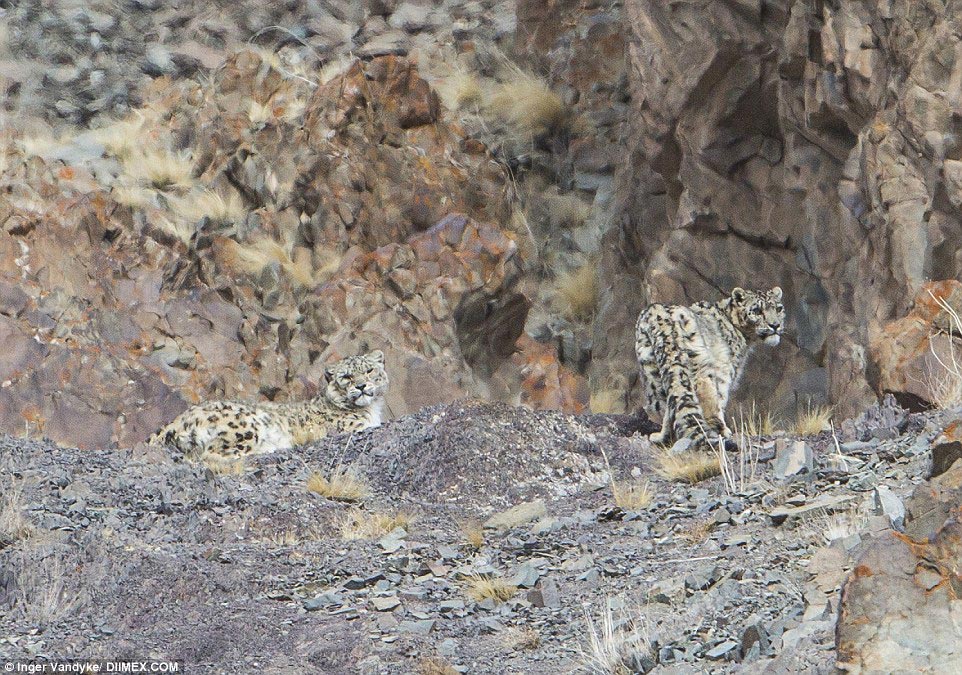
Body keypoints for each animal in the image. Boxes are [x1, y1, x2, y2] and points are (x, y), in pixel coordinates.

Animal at [148, 348, 388, 460]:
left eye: (369, 370)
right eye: (346, 377)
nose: (361, 386)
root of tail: (175, 421)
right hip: (246, 425)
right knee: (212, 453)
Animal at [632, 288, 784, 446]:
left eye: (779, 308)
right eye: (757, 310)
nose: (775, 325)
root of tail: (661, 319)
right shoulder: (724, 370)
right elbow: (720, 398)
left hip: (651, 369)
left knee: (672, 400)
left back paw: (662, 437)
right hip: (700, 362)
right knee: (704, 390)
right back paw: (719, 429)